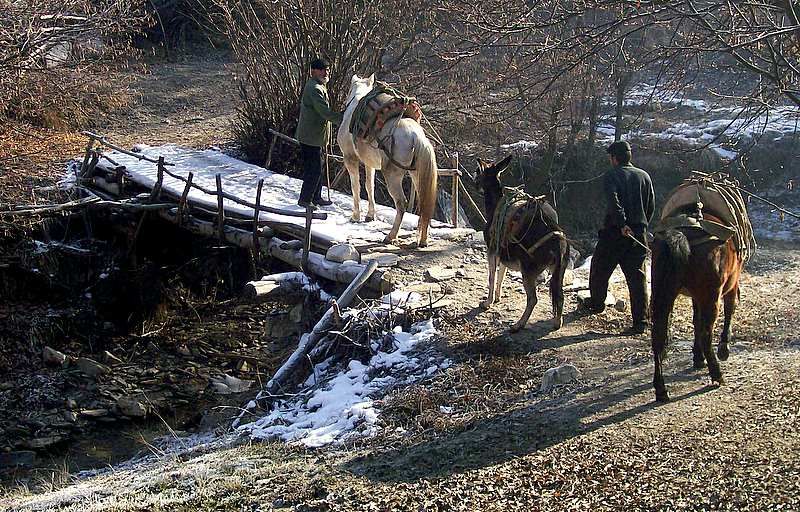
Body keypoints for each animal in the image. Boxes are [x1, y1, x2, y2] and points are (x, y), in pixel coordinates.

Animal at [336, 73, 440, 247]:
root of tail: (416, 136)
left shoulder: (350, 159)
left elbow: (356, 187)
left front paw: (355, 216)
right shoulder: (369, 163)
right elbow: (369, 186)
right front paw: (370, 215)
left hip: (392, 176)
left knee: (401, 203)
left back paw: (391, 236)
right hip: (417, 174)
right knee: (424, 202)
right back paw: (423, 239)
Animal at [648, 210, 744, 402]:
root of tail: (680, 235)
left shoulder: (696, 296)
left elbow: (696, 320)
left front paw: (698, 357)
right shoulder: (731, 284)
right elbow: (729, 310)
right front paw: (723, 349)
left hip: (664, 294)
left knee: (658, 336)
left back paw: (661, 389)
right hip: (711, 296)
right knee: (707, 334)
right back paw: (717, 374)